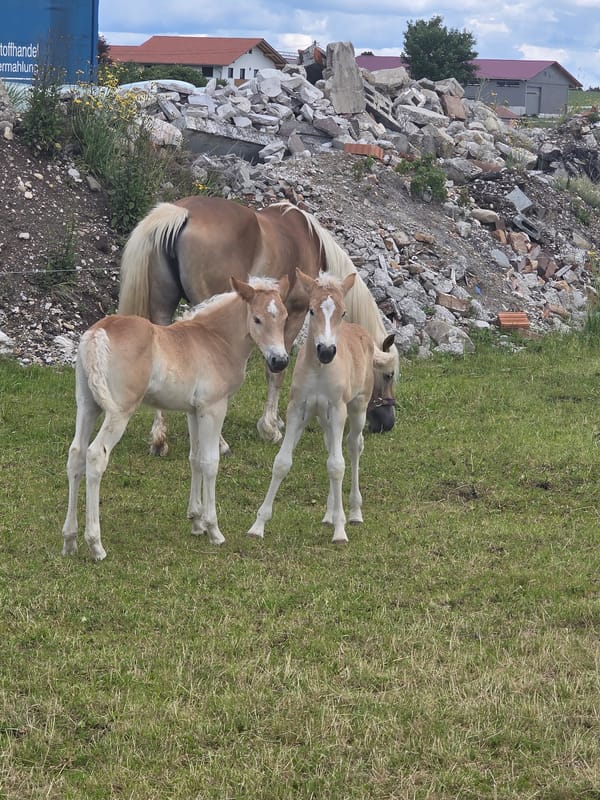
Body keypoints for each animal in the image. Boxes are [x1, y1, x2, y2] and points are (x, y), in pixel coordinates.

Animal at [62, 276, 289, 561]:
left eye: (285, 317)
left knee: (76, 455)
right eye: (257, 319)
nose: (280, 361)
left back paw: (69, 540)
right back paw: (95, 544)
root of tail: (98, 333)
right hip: (119, 411)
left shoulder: (194, 410)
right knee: (95, 456)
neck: (215, 339)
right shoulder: (214, 408)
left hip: (87, 405)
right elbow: (210, 462)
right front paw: (214, 530)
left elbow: (195, 459)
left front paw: (196, 521)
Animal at [117, 196, 399, 456]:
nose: (387, 422)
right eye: (388, 375)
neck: (311, 241)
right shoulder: (294, 315)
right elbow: (277, 372)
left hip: (162, 308)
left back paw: (159, 440)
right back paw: (219, 443)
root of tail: (182, 213)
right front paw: (270, 426)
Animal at [247, 270, 397, 544]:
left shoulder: (338, 410)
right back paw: (330, 513)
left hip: (357, 409)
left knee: (353, 447)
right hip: (323, 419)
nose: (326, 351)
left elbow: (337, 466)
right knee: (331, 450)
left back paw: (354, 512)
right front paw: (258, 525)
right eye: (311, 310)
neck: (319, 369)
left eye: (343, 312)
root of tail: (363, 334)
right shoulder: (298, 409)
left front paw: (340, 531)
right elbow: (282, 462)